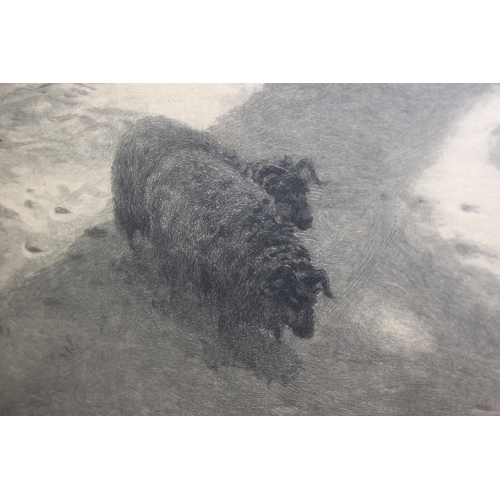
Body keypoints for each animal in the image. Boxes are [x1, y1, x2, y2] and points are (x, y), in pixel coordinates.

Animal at [111, 116, 334, 340]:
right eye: (286, 191)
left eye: (304, 189)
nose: (308, 220)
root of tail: (142, 121)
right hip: (131, 211)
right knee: (135, 243)